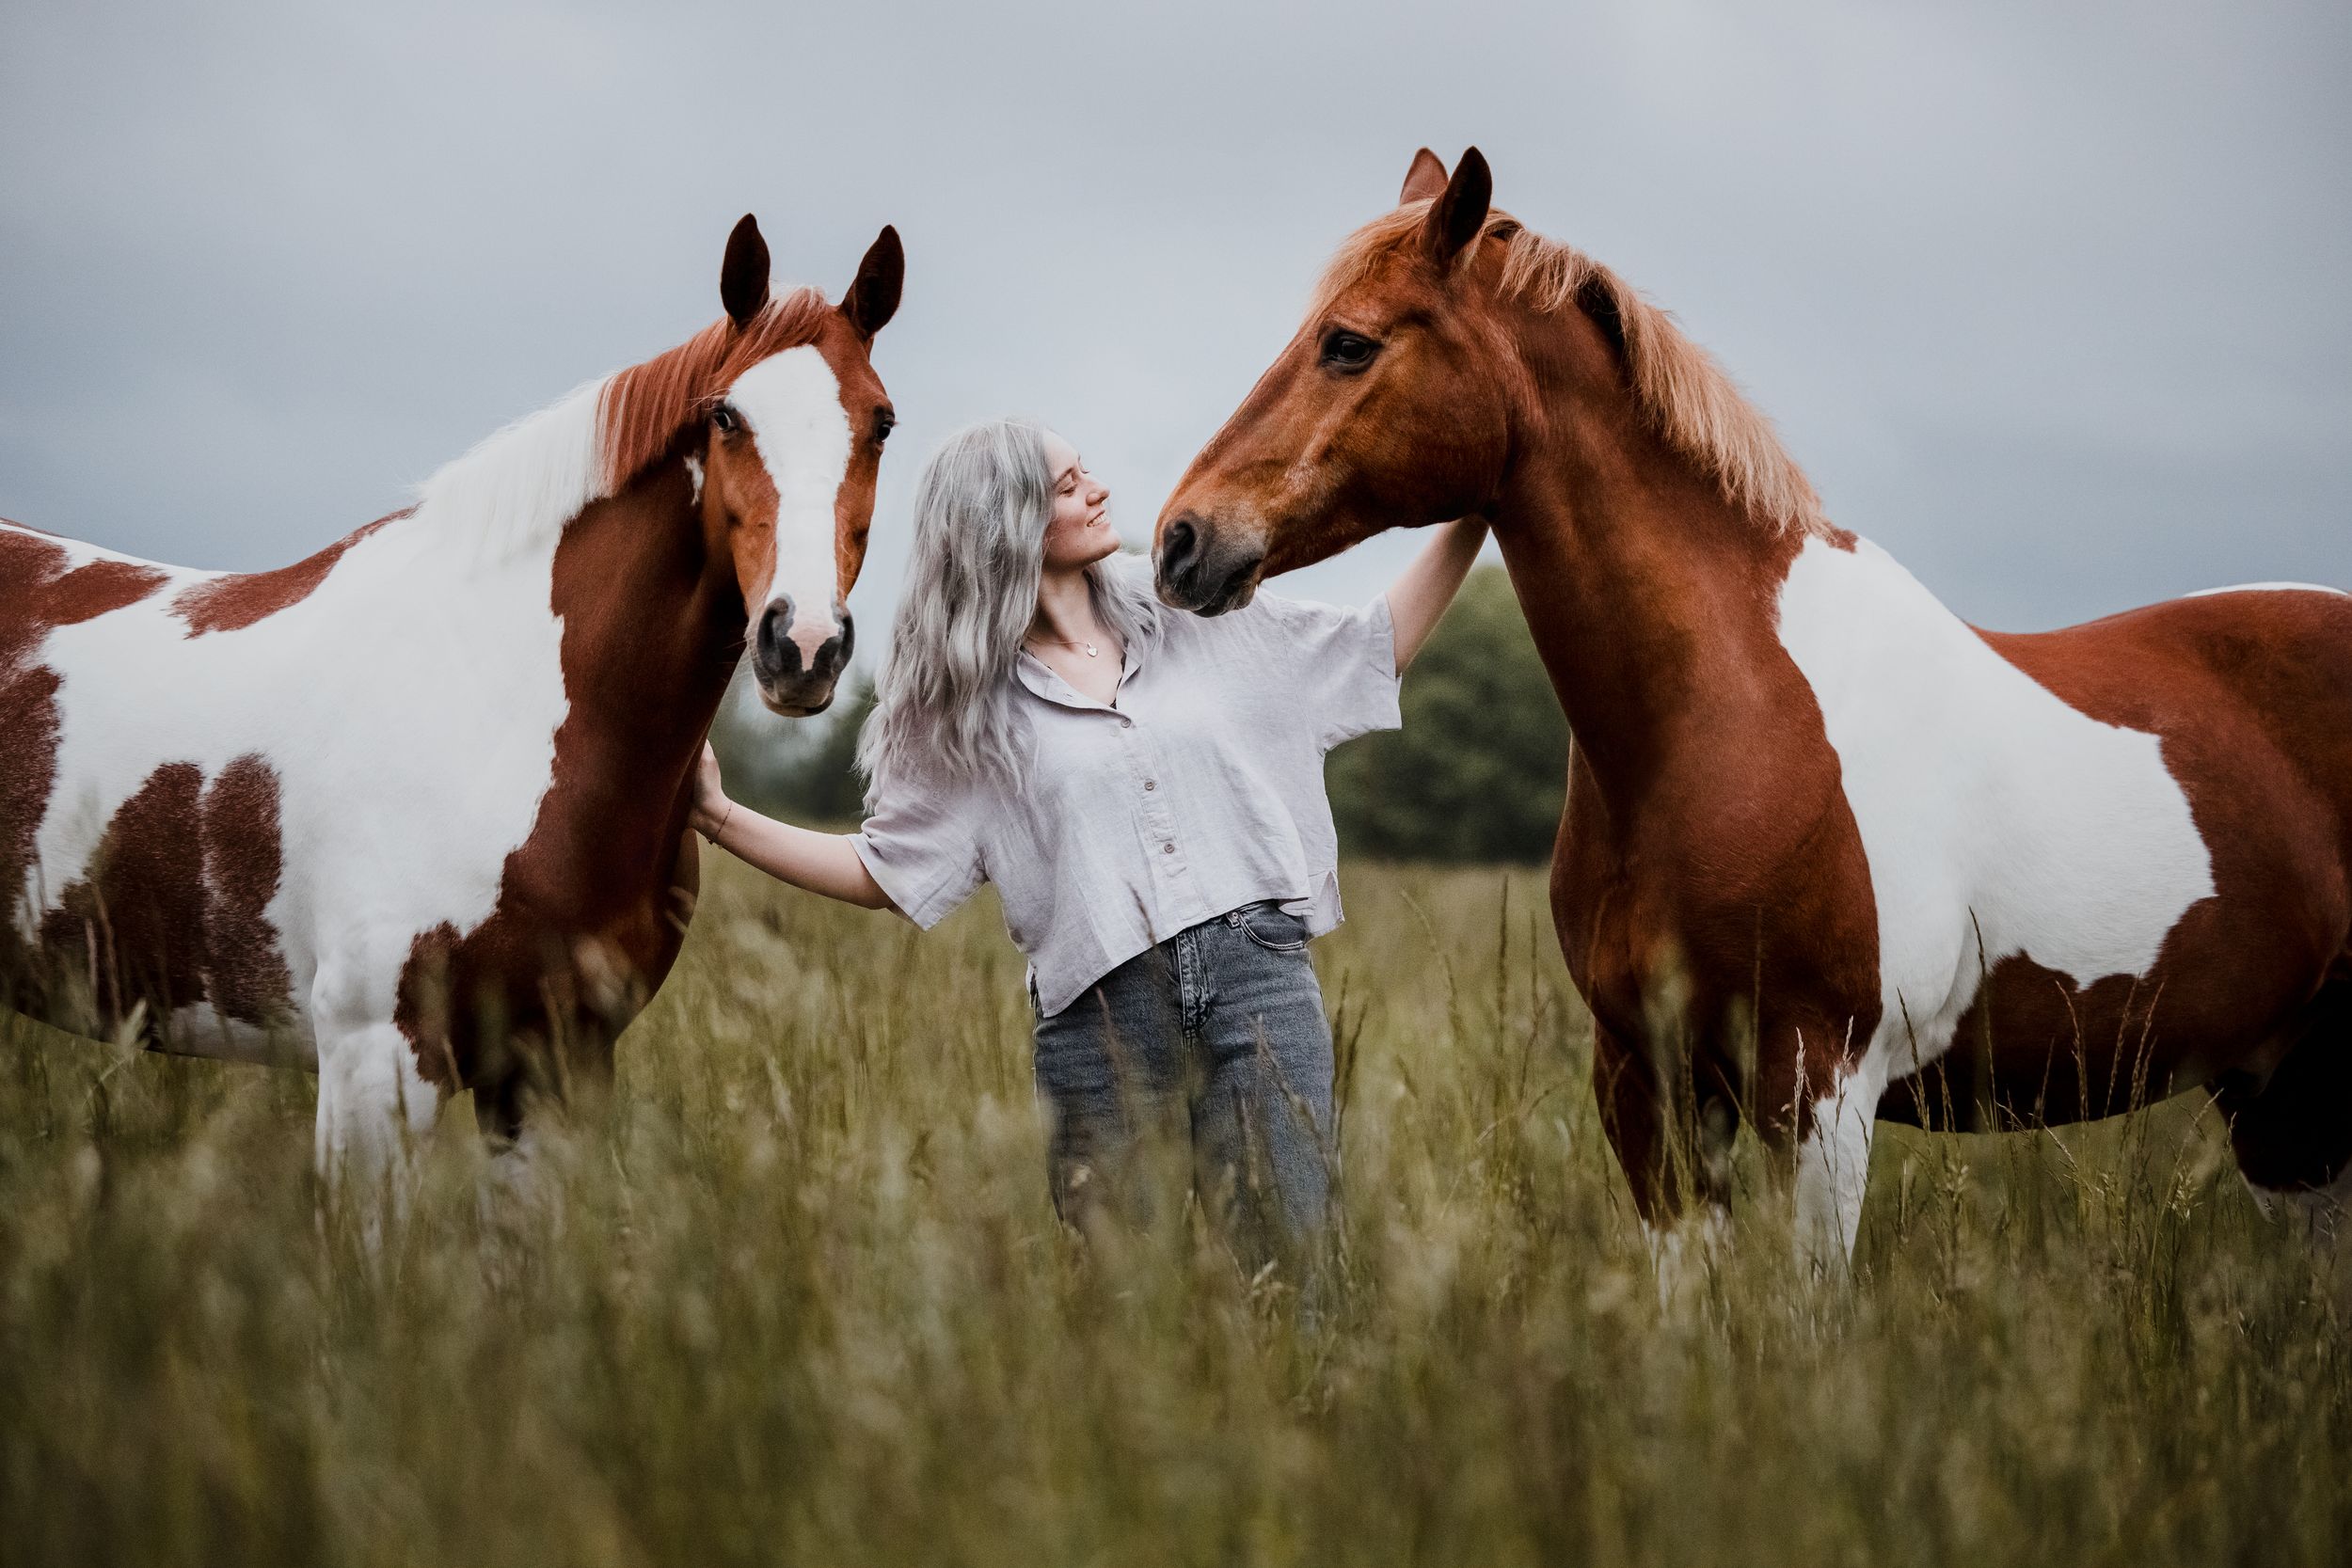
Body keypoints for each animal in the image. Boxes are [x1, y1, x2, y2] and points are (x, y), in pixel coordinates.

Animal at [2, 213, 903, 1209]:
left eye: (882, 422)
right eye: (726, 416)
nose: (803, 644)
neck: (505, 717)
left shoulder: (553, 1065)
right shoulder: (375, 1063)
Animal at [1154, 145, 2352, 1276]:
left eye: (1349, 343)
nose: (1180, 540)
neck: (1728, 717)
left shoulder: (1818, 1090)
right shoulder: (1647, 1084)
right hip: (2282, 1107)